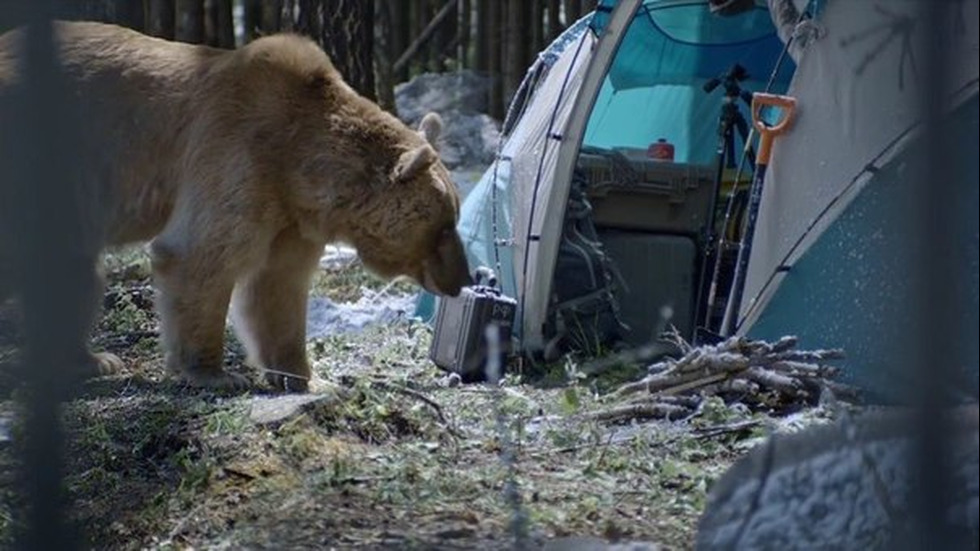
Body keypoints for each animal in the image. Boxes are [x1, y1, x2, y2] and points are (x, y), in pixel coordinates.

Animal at [0, 20, 470, 392]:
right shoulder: (238, 151)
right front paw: (217, 372)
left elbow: (277, 286)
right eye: (446, 224)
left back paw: (93, 360)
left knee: (72, 271)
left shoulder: (291, 216)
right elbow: (201, 255)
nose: (463, 279)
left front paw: (306, 376)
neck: (301, 165)